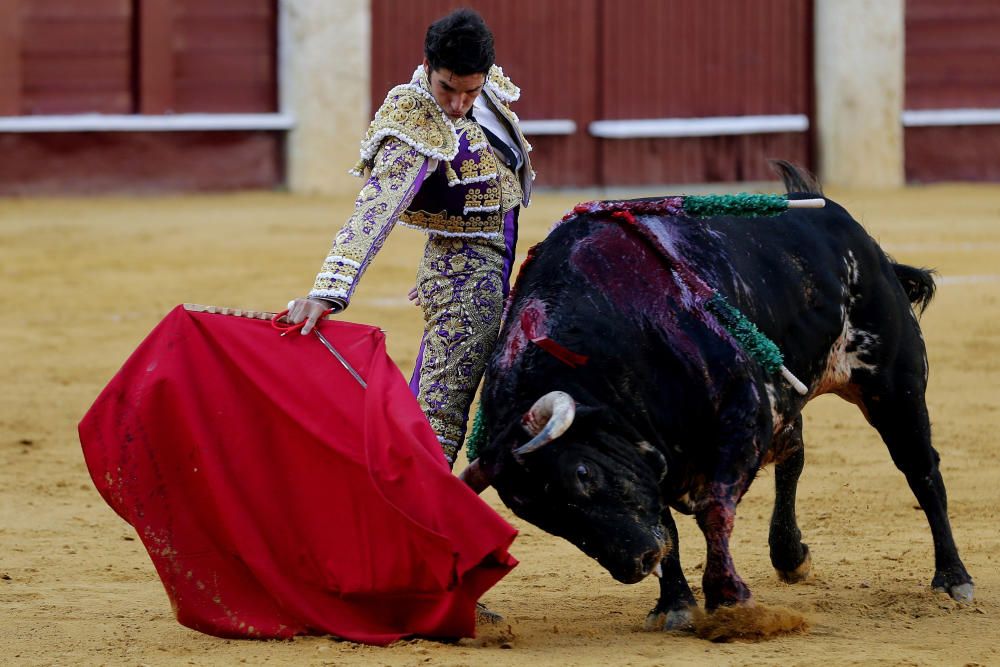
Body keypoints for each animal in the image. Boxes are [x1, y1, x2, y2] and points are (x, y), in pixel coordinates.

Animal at [464, 163, 972, 632]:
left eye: (582, 473)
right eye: (539, 516)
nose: (635, 564)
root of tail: (844, 224)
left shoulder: (742, 416)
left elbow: (713, 510)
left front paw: (728, 600)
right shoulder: (658, 455)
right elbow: (667, 523)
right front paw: (674, 604)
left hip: (894, 385)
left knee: (921, 468)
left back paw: (953, 578)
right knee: (796, 454)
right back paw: (790, 556)